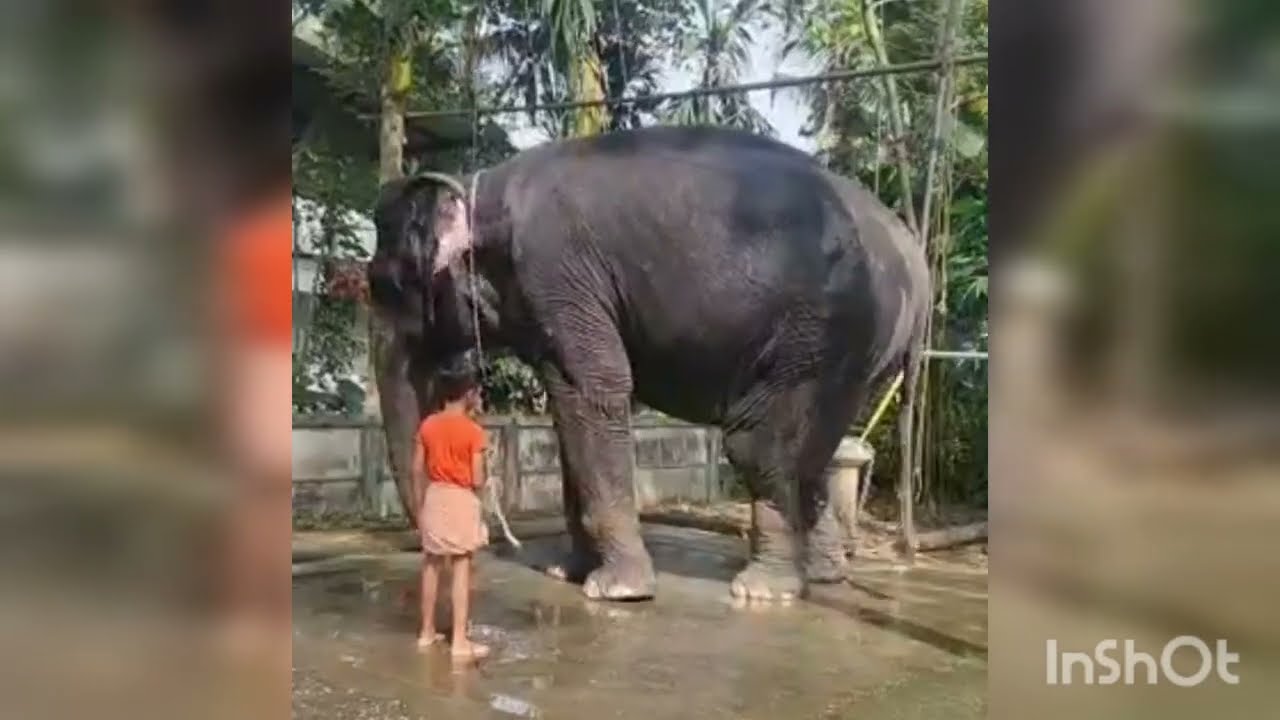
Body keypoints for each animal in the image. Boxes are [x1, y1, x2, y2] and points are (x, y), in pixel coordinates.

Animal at [369, 126, 929, 602]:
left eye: (389, 287)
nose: (477, 543)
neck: (479, 187)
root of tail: (914, 258)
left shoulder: (558, 271)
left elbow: (596, 389)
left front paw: (615, 590)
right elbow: (567, 412)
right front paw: (566, 572)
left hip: (822, 330)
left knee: (756, 444)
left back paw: (762, 591)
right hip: (858, 353)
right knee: (819, 450)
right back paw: (823, 576)